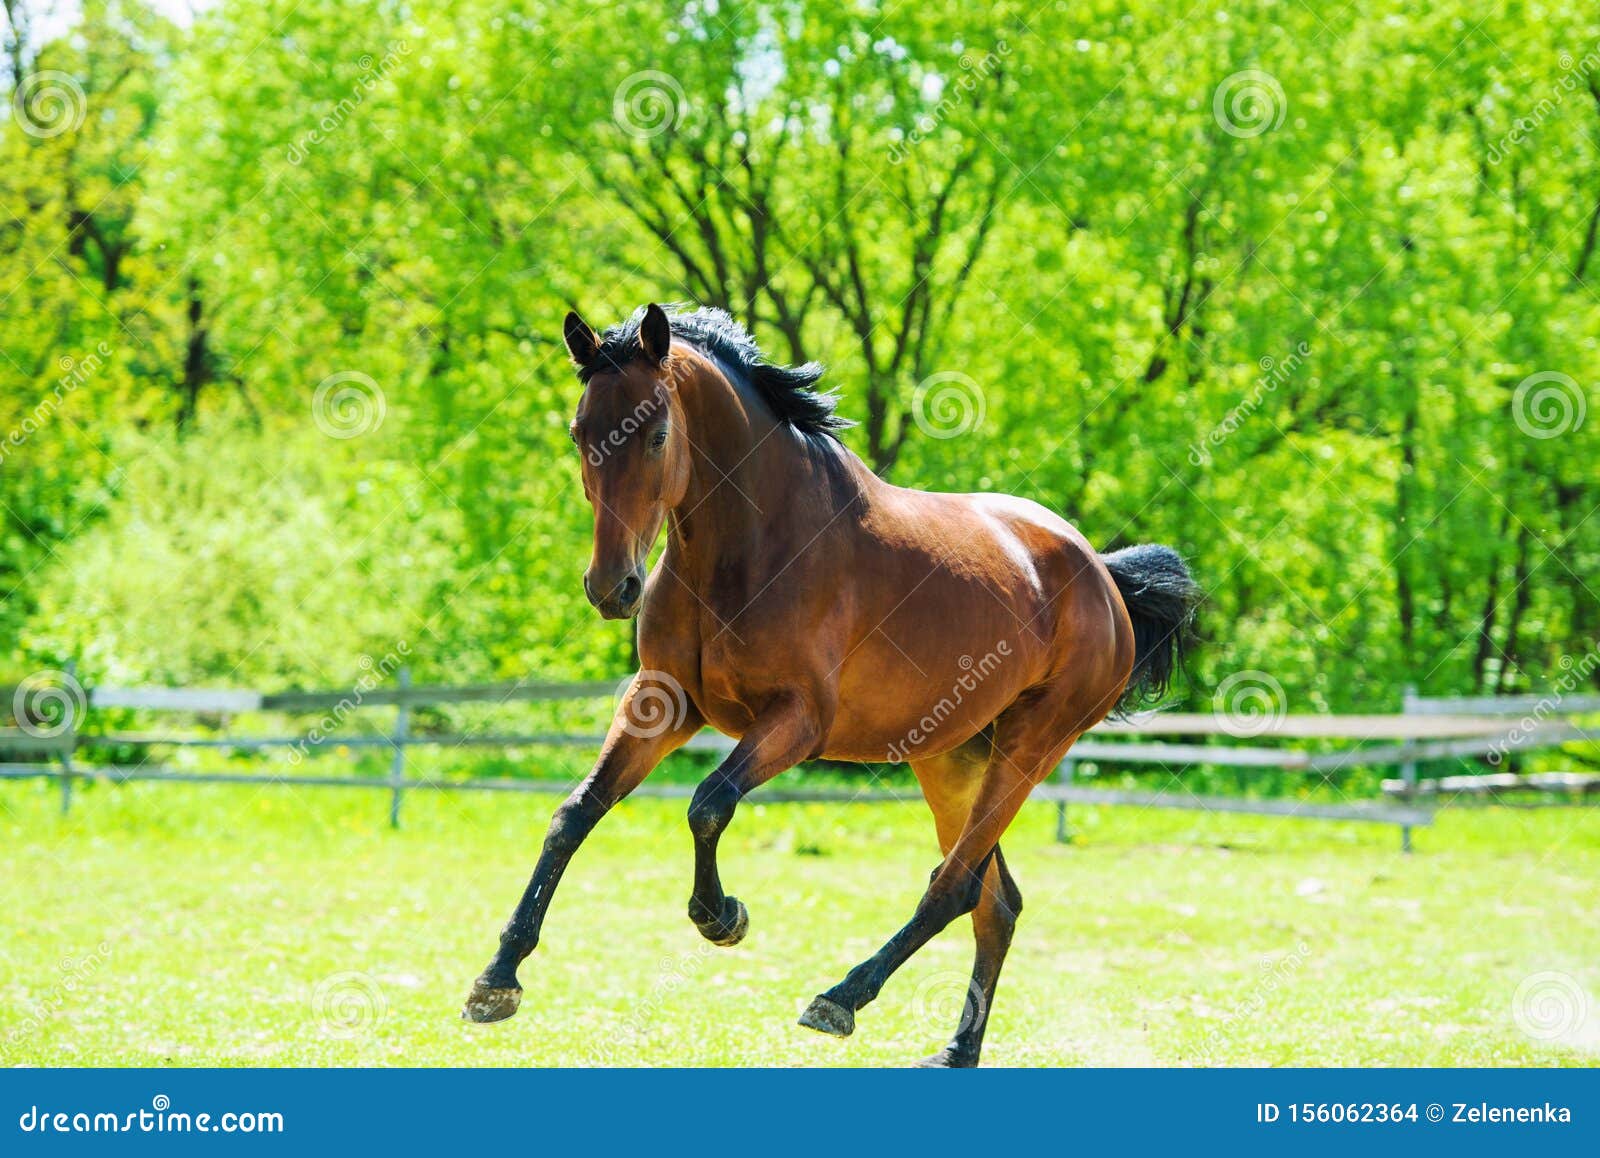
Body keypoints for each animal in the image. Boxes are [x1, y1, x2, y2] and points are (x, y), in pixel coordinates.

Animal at [460, 302, 1190, 1062]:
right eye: (580, 432)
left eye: (656, 433)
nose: (612, 588)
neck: (752, 544)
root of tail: (1103, 576)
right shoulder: (662, 702)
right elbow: (576, 813)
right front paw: (497, 979)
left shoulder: (798, 720)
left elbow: (708, 803)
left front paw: (722, 917)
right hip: (951, 757)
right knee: (998, 903)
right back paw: (955, 1051)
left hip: (1030, 745)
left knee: (956, 888)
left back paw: (841, 998)